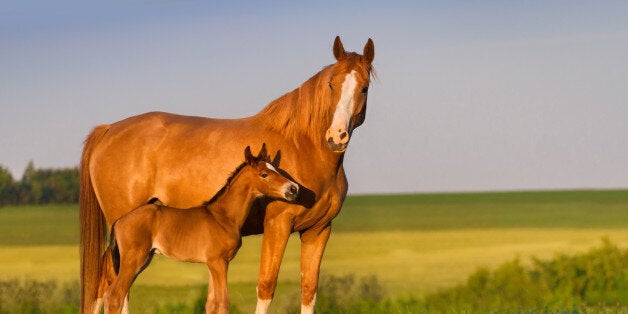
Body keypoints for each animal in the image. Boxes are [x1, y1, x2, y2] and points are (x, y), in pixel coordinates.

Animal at [101, 146, 300, 312]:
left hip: (142, 260)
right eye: (264, 174)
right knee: (114, 296)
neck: (223, 216)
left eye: (277, 169)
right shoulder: (219, 263)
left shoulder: (213, 264)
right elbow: (223, 303)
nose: (293, 188)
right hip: (133, 259)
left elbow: (213, 304)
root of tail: (119, 221)